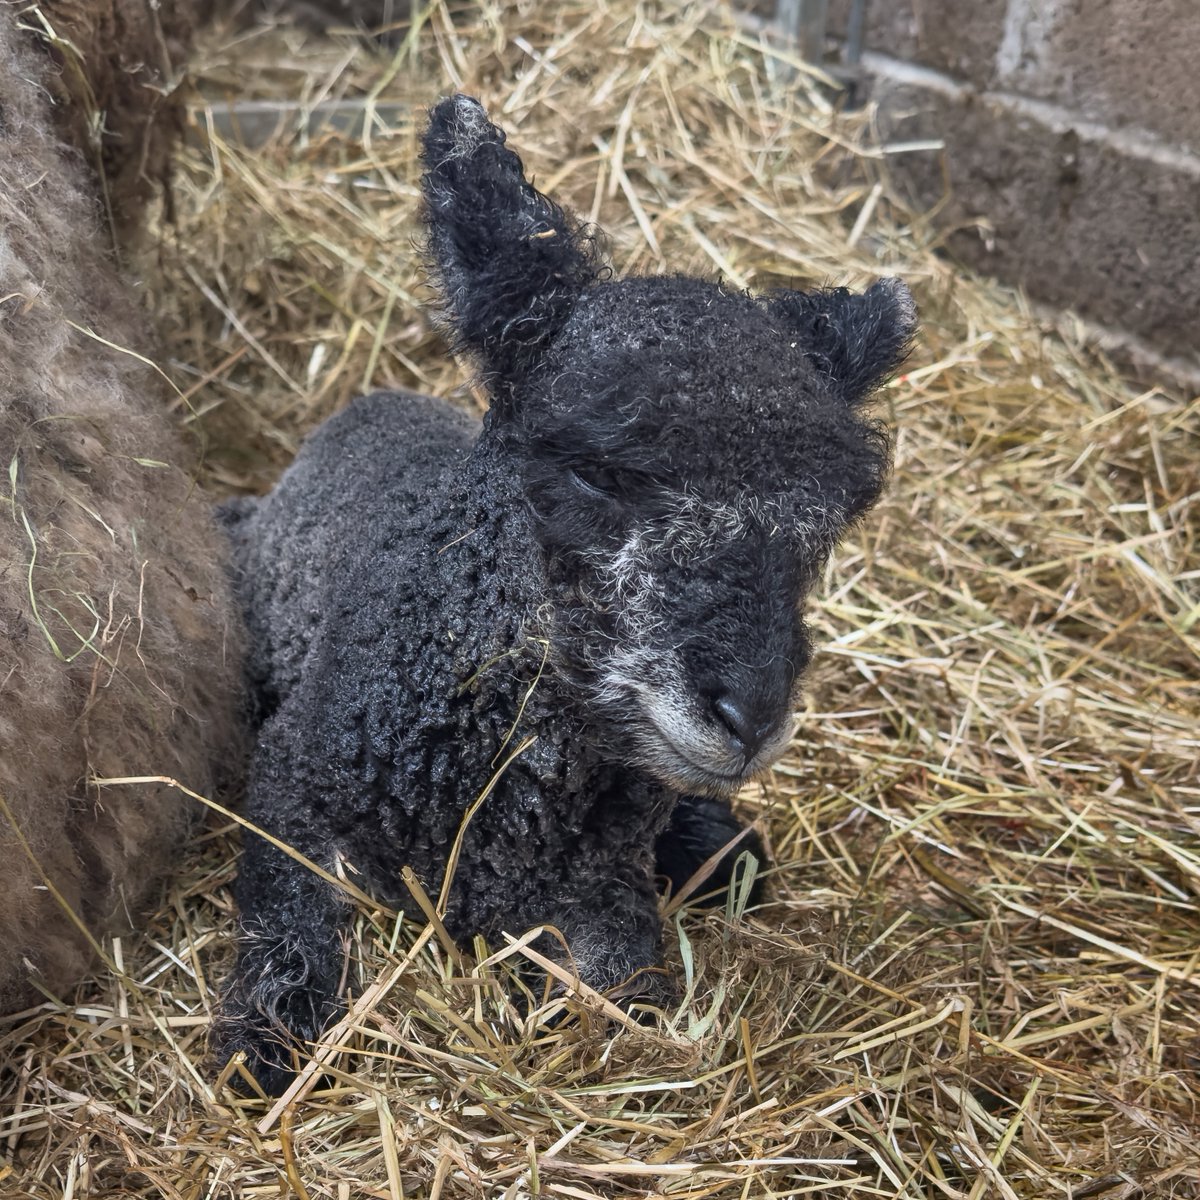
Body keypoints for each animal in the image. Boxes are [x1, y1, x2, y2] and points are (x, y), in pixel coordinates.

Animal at [213, 94, 916, 1095]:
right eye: (592, 471)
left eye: (828, 519)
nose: (749, 716)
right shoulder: (291, 777)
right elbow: (286, 912)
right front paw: (269, 1046)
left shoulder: (604, 883)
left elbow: (631, 988)